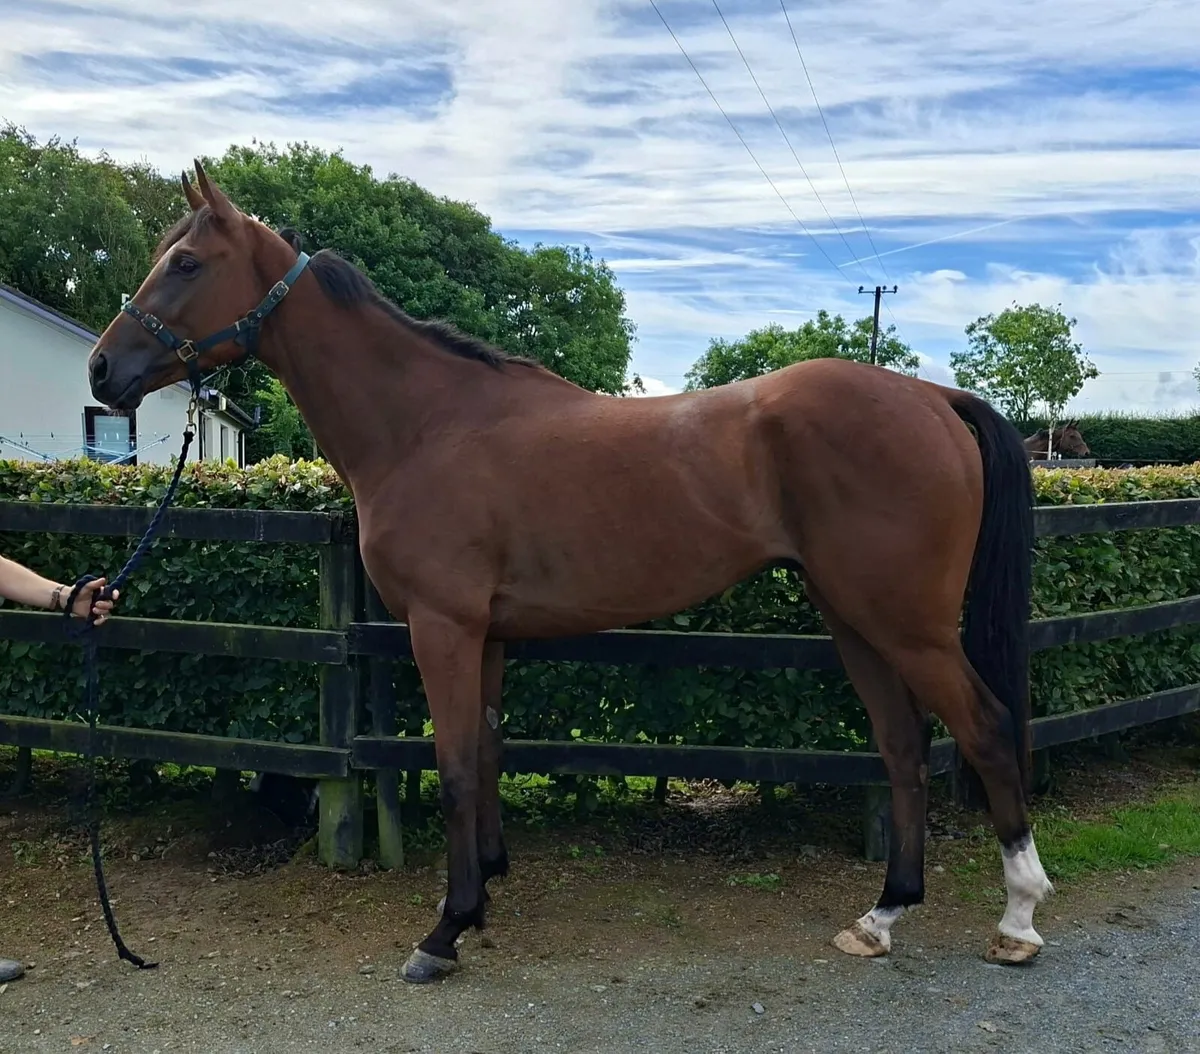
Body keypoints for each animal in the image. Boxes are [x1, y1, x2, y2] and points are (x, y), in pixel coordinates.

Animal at [85, 161, 1051, 984]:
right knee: (900, 747)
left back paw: (1017, 920)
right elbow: (486, 750)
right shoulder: (487, 636)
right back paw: (883, 917)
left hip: (908, 624)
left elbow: (456, 762)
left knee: (987, 729)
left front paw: (445, 928)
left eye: (185, 262)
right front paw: (483, 888)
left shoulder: (444, 627)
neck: (425, 423)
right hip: (856, 619)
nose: (103, 368)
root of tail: (934, 398)